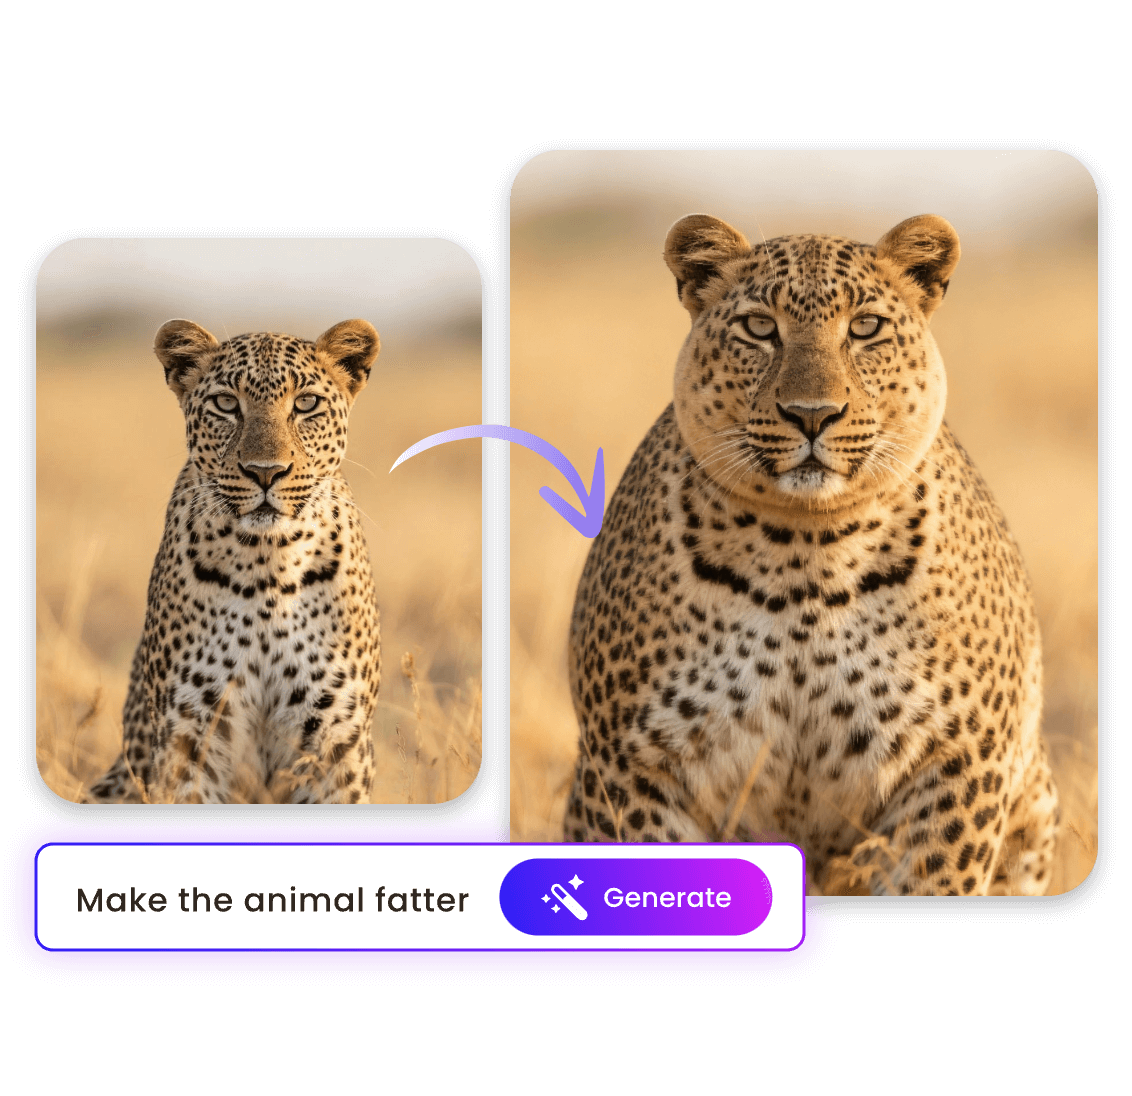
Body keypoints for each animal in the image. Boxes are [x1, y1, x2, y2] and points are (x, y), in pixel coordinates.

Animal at [83, 319, 382, 804]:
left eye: (306, 404)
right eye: (226, 404)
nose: (265, 471)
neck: (269, 564)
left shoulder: (336, 740)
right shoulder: (190, 733)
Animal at [564, 213, 1059, 895]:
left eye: (866, 327)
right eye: (759, 327)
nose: (812, 415)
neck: (807, 551)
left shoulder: (958, 765)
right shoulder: (632, 765)